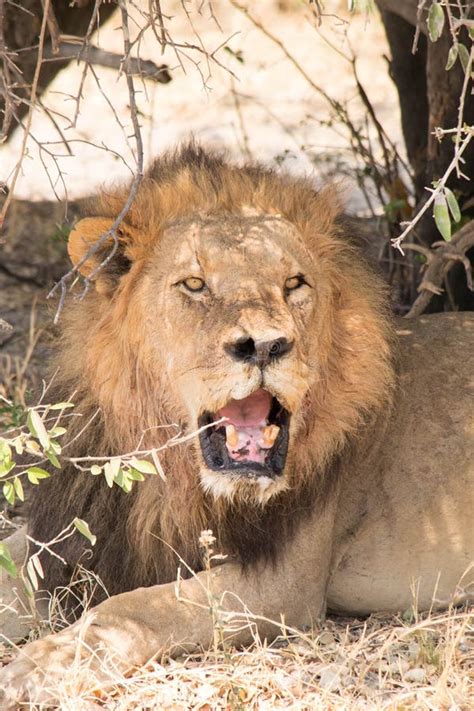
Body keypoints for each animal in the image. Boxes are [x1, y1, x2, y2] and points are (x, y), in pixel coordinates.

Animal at [0, 146, 474, 708]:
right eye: (194, 284)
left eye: (294, 284)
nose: (266, 345)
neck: (172, 478)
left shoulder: (284, 583)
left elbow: (137, 607)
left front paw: (44, 664)